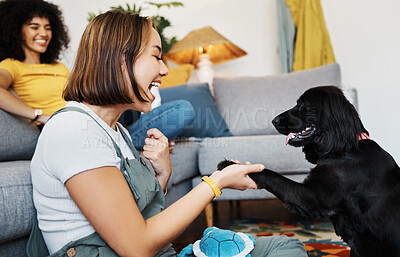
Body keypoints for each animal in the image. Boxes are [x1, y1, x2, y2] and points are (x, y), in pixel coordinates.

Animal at [219, 85, 400, 255]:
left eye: (306, 104)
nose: (274, 120)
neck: (347, 149)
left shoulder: (311, 197)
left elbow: (273, 176)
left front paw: (230, 165)